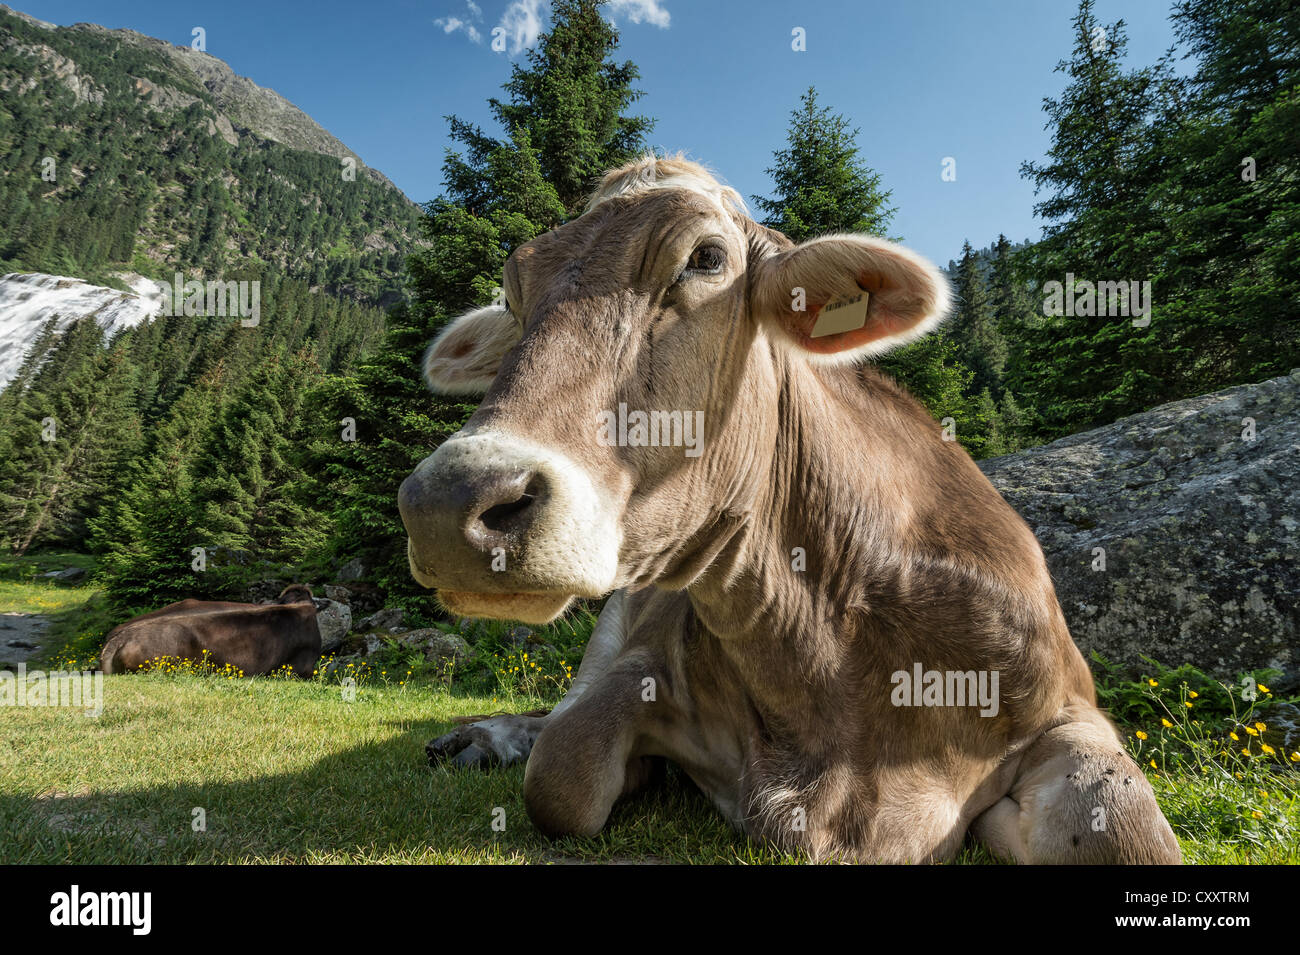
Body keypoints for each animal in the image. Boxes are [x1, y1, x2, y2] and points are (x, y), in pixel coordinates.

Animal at [400, 157, 1185, 867]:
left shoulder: (1067, 706)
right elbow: (561, 776)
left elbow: (1128, 835)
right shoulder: (640, 664)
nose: (447, 500)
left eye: (706, 258)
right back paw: (477, 736)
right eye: (514, 295)